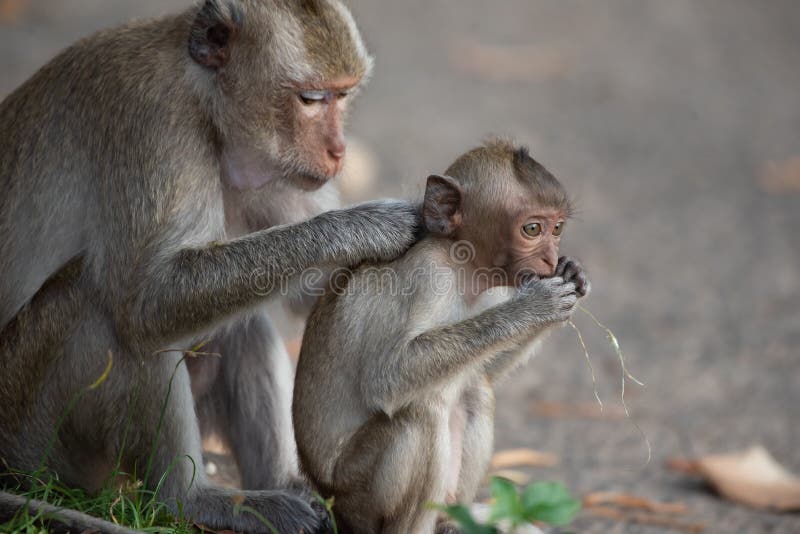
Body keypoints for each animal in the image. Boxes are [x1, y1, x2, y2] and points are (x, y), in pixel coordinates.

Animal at [0, 1, 422, 534]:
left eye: (343, 95)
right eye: (310, 99)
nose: (338, 150)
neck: (206, 103)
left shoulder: (273, 172)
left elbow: (309, 295)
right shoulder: (156, 124)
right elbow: (148, 301)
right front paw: (365, 225)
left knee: (240, 322)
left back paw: (283, 486)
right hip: (35, 435)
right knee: (109, 314)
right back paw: (188, 499)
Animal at [294, 140, 588, 532]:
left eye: (557, 228)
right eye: (532, 228)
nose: (551, 258)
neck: (464, 266)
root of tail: (330, 502)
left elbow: (484, 370)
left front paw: (572, 275)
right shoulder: (429, 274)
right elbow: (387, 376)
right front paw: (534, 308)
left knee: (475, 389)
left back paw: (453, 521)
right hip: (355, 495)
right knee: (420, 413)